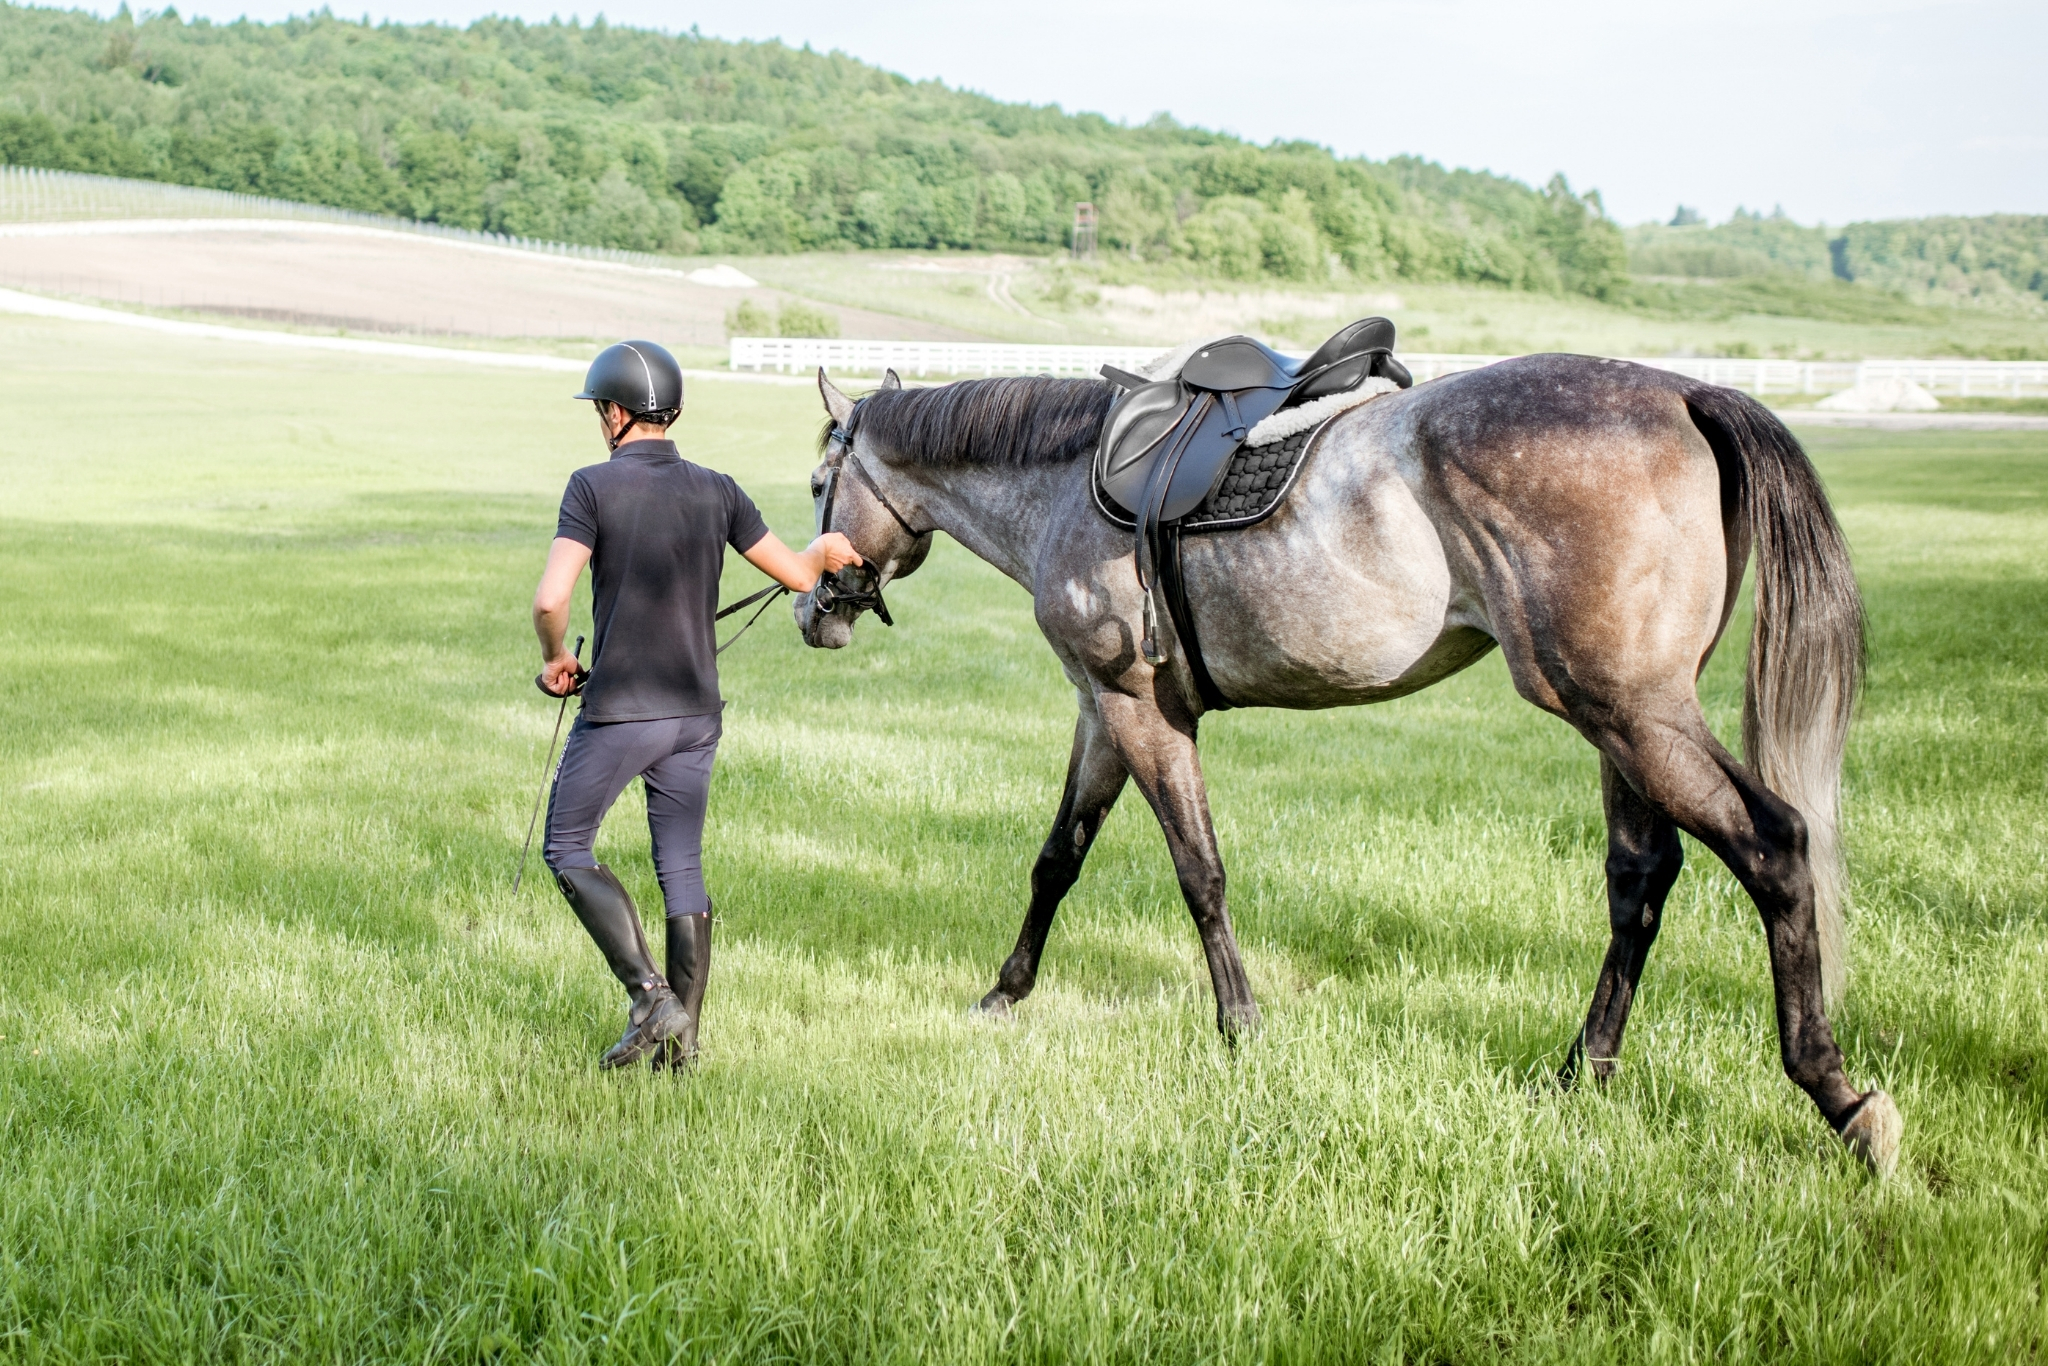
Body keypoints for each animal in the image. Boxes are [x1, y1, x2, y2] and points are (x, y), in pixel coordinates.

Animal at [796, 353, 1901, 1177]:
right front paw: (1005, 992)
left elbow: (1198, 873)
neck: (1069, 480)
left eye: (817, 485)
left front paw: (1238, 1025)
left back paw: (1837, 1095)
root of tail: (1686, 393)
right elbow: (1056, 859)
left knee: (1774, 847)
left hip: (1631, 714)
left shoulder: (1139, 713)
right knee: (1639, 880)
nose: (814, 610)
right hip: (1622, 719)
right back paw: (1581, 1071)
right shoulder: (1103, 714)